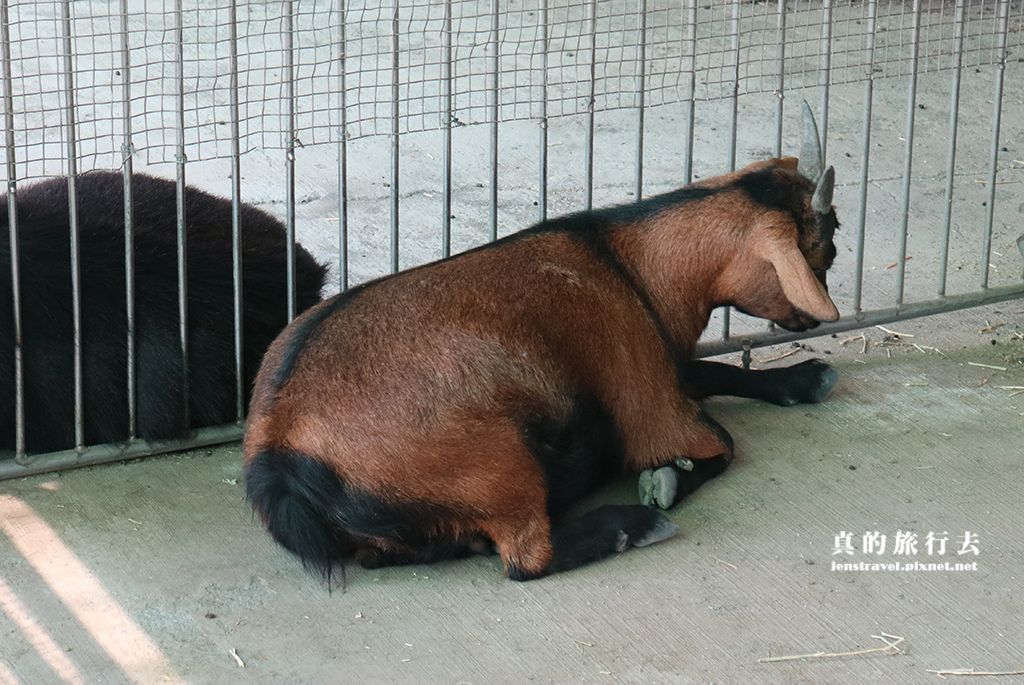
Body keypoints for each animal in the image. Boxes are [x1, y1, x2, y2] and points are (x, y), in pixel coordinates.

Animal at [245, 102, 839, 581]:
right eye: (823, 247)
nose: (814, 318)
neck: (628, 264)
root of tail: (278, 446)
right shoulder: (650, 400)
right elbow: (717, 445)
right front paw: (666, 480)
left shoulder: (666, 359)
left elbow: (719, 370)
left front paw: (807, 377)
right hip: (500, 464)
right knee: (528, 558)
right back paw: (635, 524)